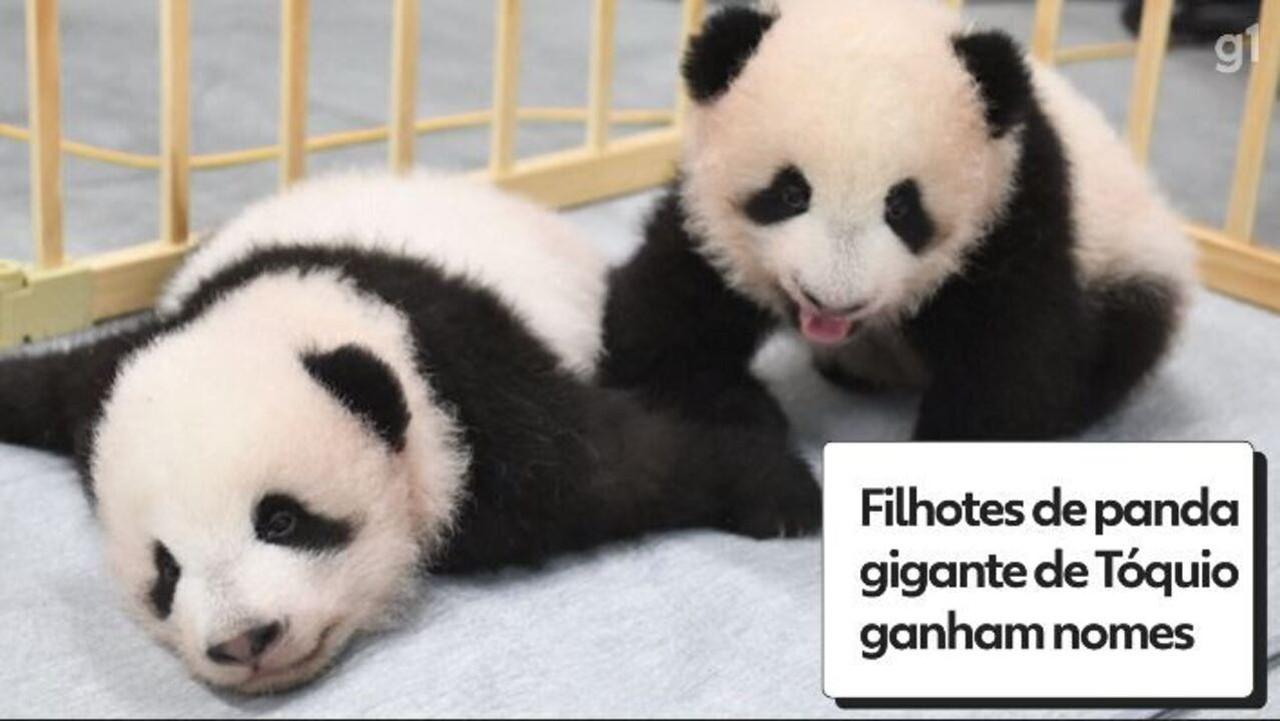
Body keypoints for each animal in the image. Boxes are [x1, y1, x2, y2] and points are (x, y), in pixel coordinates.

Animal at [0, 171, 821, 693]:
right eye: (165, 572)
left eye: (283, 519)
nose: (242, 639)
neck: (310, 304)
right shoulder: (126, 360)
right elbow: (60, 381)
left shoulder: (477, 395)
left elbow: (625, 464)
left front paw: (780, 490)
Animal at [602, 0, 1195, 440]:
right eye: (791, 192)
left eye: (902, 206)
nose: (832, 301)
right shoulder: (708, 225)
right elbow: (655, 331)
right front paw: (750, 412)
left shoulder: (1015, 209)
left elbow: (1017, 364)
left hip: (1129, 261)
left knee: (1124, 338)